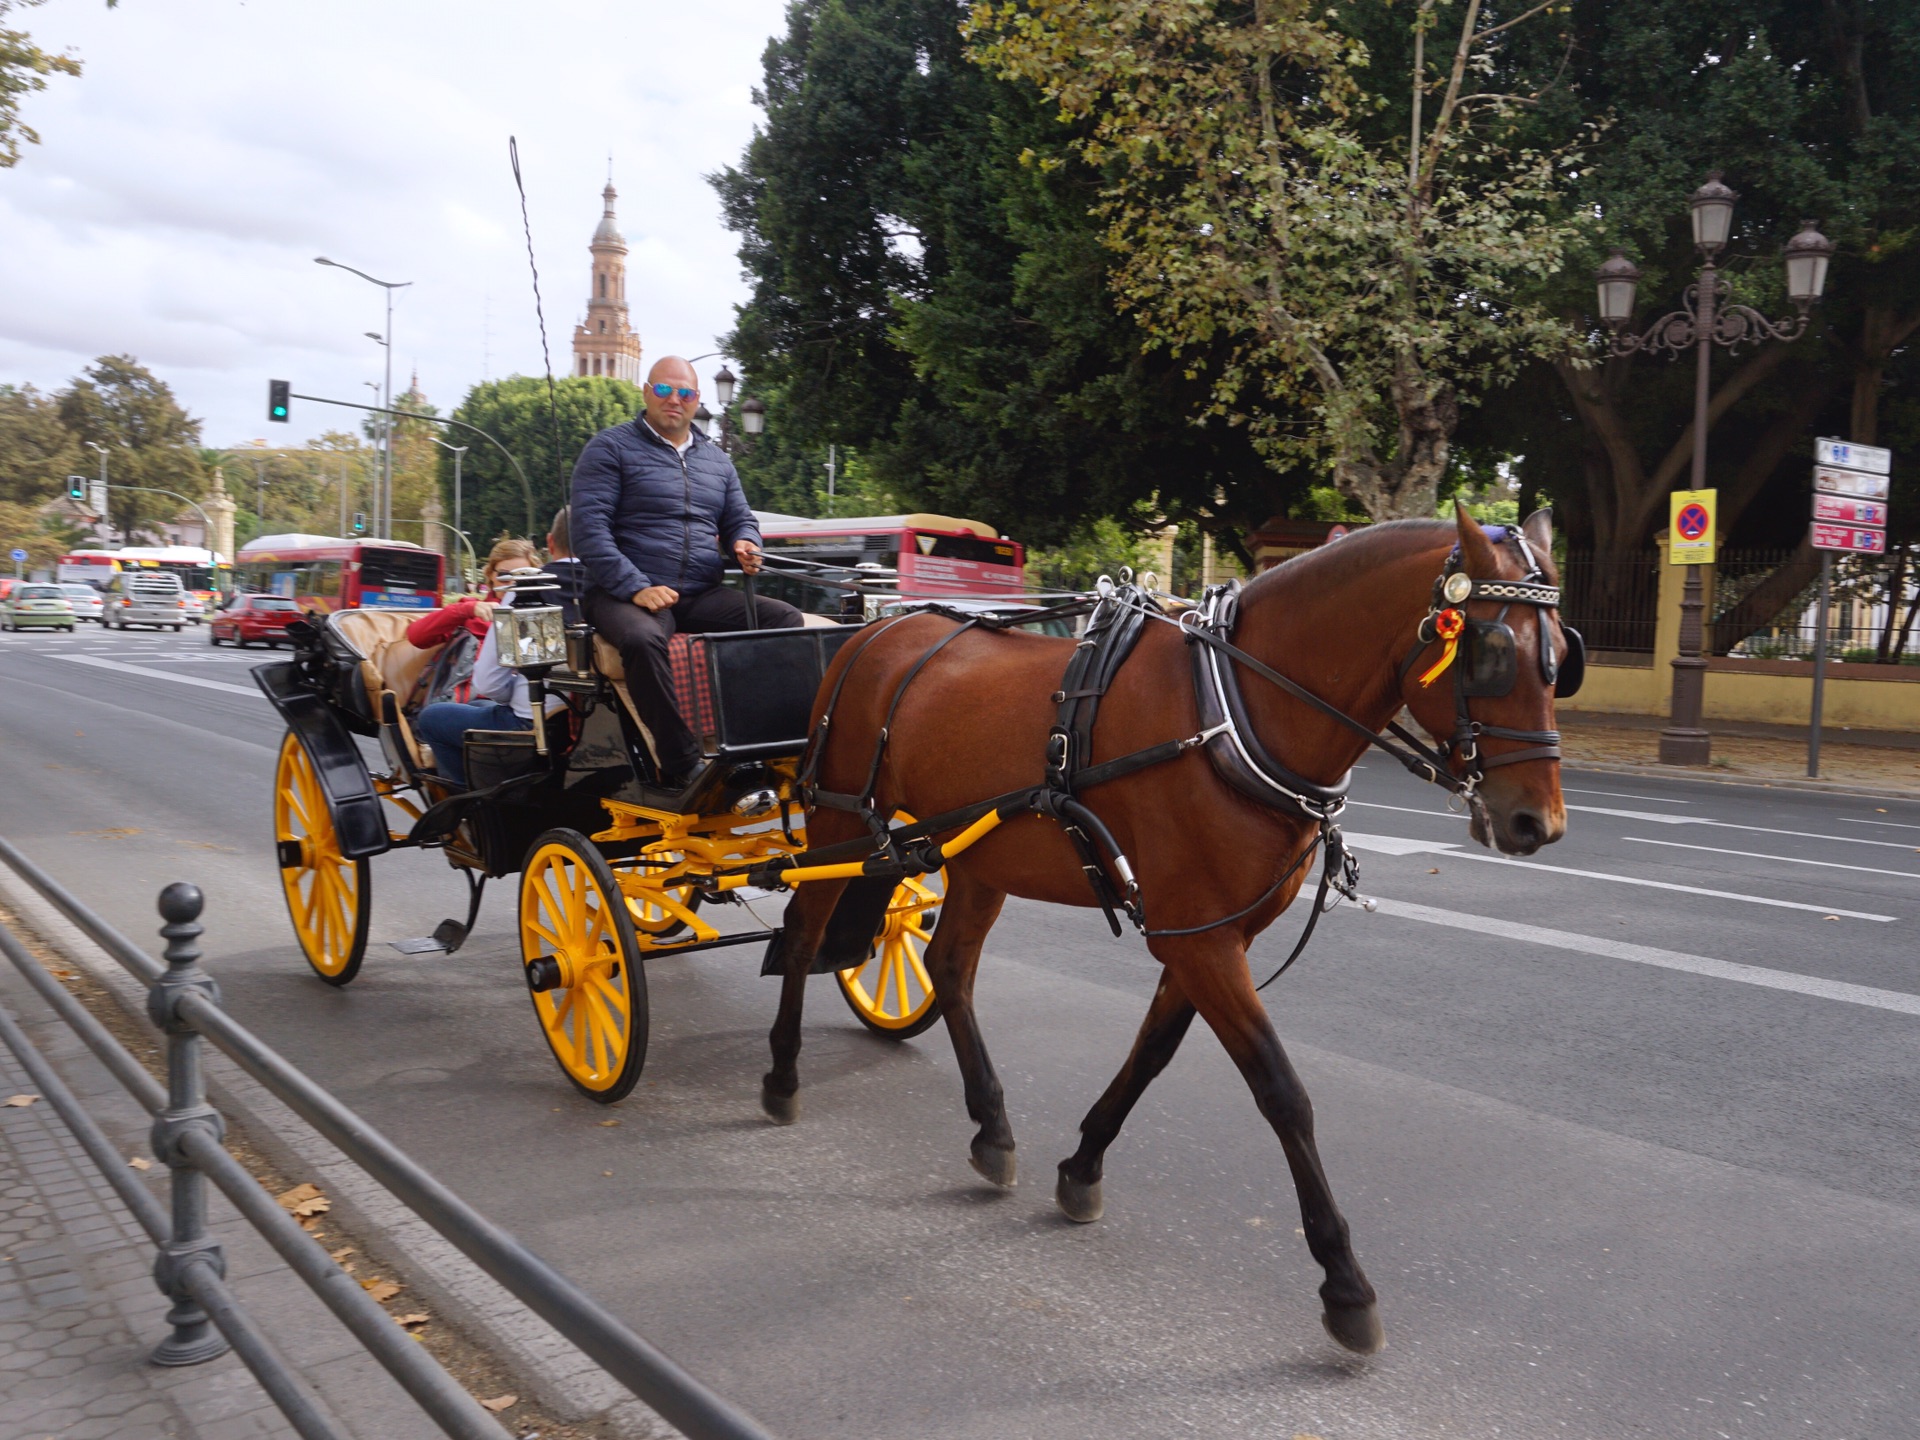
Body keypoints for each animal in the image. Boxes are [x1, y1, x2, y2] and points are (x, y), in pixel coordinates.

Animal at [756, 503, 1566, 1351]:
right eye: (1492, 653)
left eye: (1562, 658)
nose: (1536, 823)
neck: (1229, 712)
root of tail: (873, 631)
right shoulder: (1202, 937)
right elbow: (1282, 1091)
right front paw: (1344, 1281)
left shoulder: (1208, 933)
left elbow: (1152, 1052)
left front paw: (1082, 1166)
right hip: (838, 822)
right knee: (805, 934)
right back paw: (781, 1077)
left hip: (974, 854)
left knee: (948, 967)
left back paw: (991, 1127)